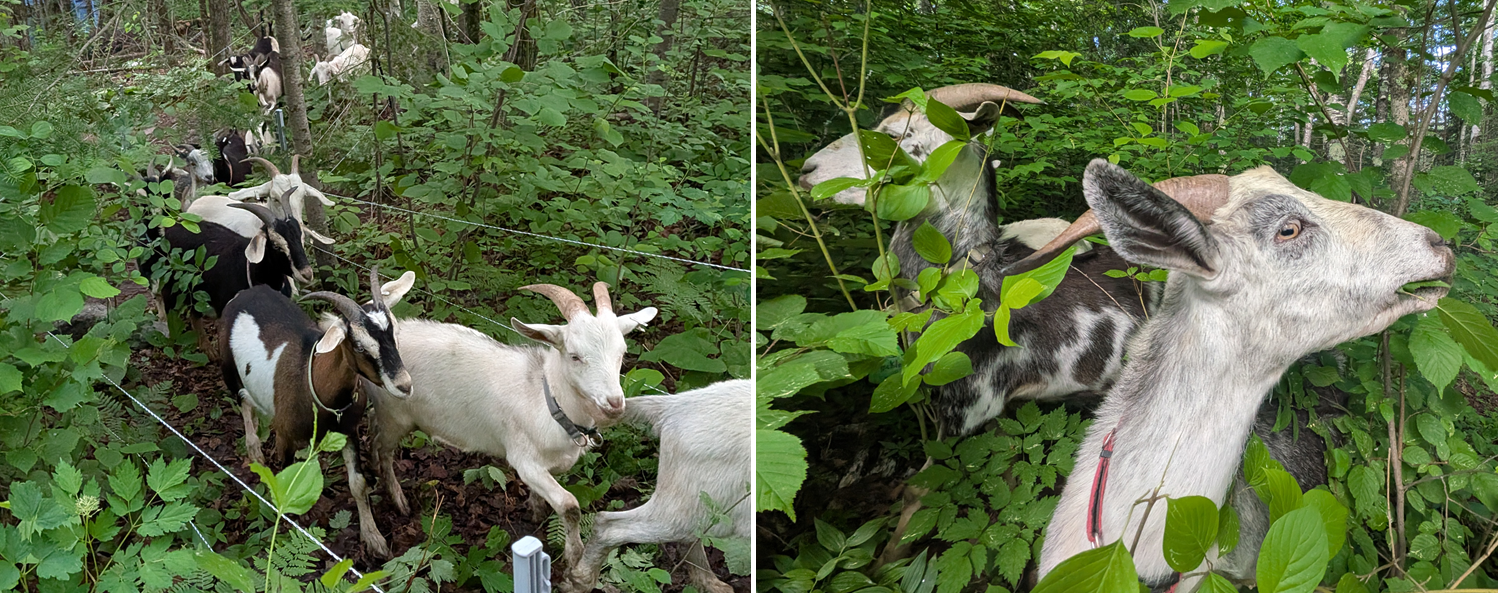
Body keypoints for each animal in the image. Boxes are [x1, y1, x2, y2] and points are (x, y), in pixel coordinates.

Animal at [143, 188, 315, 360]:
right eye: (276, 245)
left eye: (300, 238)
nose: (307, 274)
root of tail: (171, 226)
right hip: (173, 282)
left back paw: (208, 350)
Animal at [221, 267, 412, 558]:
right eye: (359, 346)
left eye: (394, 332)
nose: (405, 385)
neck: (311, 379)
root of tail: (247, 292)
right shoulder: (286, 436)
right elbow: (285, 483)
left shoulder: (347, 431)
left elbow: (358, 484)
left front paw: (374, 538)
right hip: (229, 372)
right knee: (243, 403)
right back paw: (255, 451)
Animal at [357, 279, 657, 564]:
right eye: (575, 356)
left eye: (622, 352)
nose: (614, 403)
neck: (546, 400)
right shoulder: (524, 460)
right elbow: (570, 506)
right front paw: (575, 558)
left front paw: (536, 511)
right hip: (394, 415)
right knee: (384, 448)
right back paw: (397, 499)